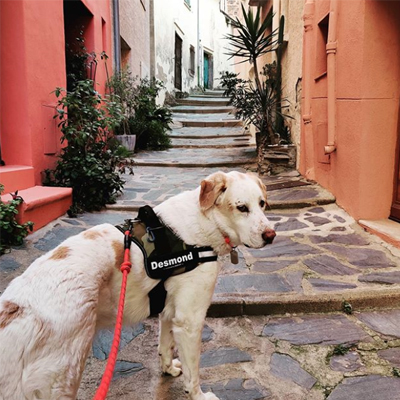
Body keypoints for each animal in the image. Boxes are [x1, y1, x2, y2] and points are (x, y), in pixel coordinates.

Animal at [0, 170, 276, 398]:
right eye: (241, 207)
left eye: (262, 204)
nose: (271, 236)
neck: (205, 221)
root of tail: (16, 308)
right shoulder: (190, 320)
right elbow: (193, 372)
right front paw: (198, 395)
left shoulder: (169, 311)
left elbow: (165, 346)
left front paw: (168, 369)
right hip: (64, 376)